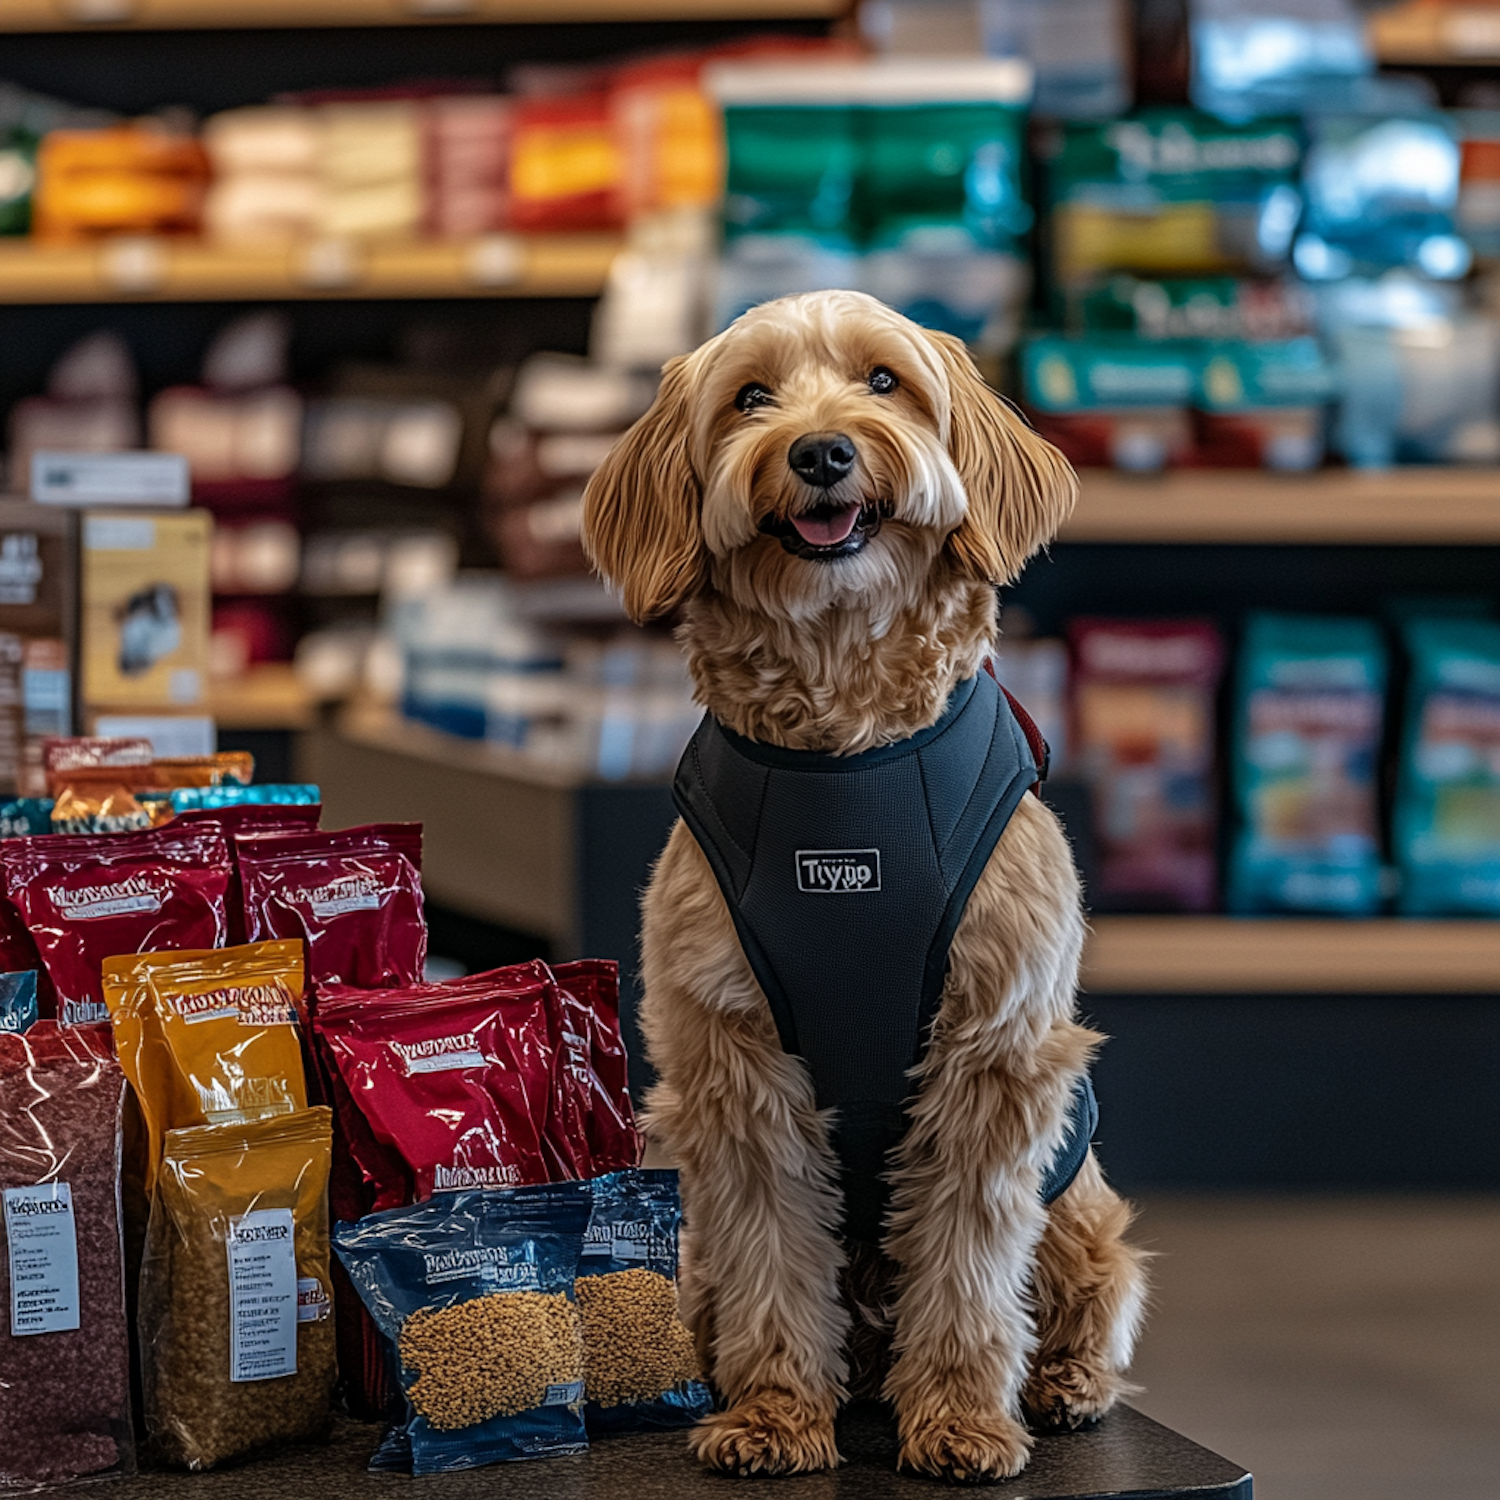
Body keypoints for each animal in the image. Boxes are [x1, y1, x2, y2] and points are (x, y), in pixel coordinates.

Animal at [579, 289, 1140, 1476]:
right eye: (751, 398)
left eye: (885, 381)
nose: (822, 451)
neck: (844, 742)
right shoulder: (736, 1061)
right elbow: (770, 1257)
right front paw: (774, 1415)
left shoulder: (992, 1052)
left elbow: (970, 1266)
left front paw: (964, 1419)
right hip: (696, 1242)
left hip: (1077, 1196)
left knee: (1087, 1290)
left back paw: (1062, 1384)